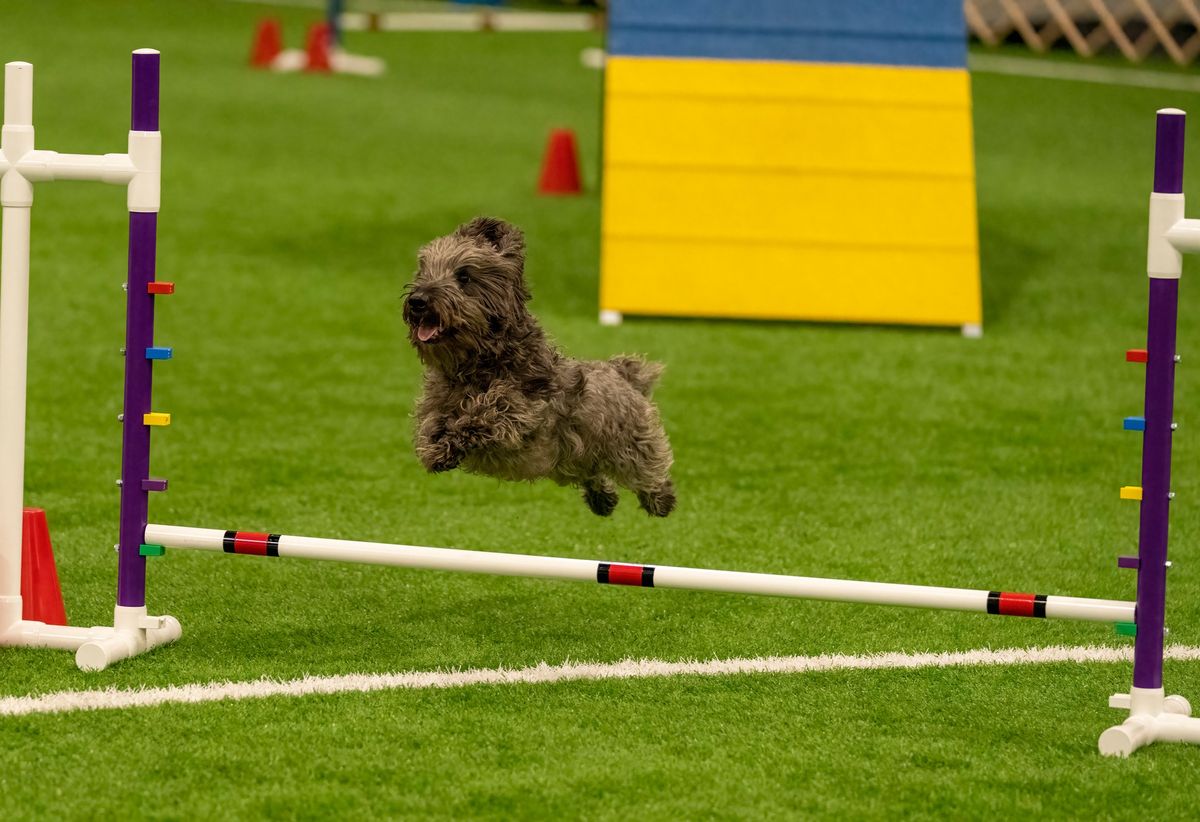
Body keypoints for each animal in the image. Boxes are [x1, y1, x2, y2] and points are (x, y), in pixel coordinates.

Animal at [398, 218, 672, 513]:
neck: (475, 366)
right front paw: (435, 448)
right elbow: (430, 424)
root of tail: (623, 372)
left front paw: (449, 443)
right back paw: (603, 500)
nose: (417, 300)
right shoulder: (434, 403)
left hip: (628, 443)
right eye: (424, 270)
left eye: (464, 276)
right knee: (592, 472)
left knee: (647, 466)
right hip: (572, 461)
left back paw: (661, 498)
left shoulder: (526, 408)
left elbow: (489, 411)